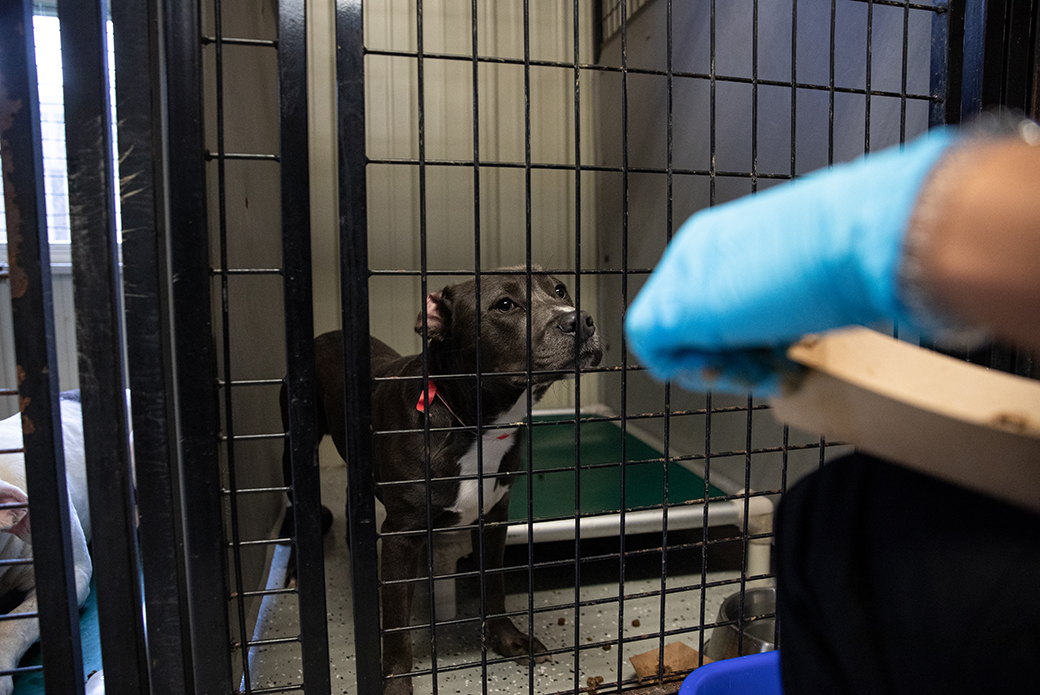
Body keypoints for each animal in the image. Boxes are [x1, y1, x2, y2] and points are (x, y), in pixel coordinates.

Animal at [301, 268, 603, 690]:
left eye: (560, 290)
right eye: (505, 305)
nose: (582, 320)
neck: (477, 425)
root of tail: (327, 333)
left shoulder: (493, 521)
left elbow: (494, 587)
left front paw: (507, 639)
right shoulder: (401, 537)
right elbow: (396, 624)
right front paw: (396, 683)